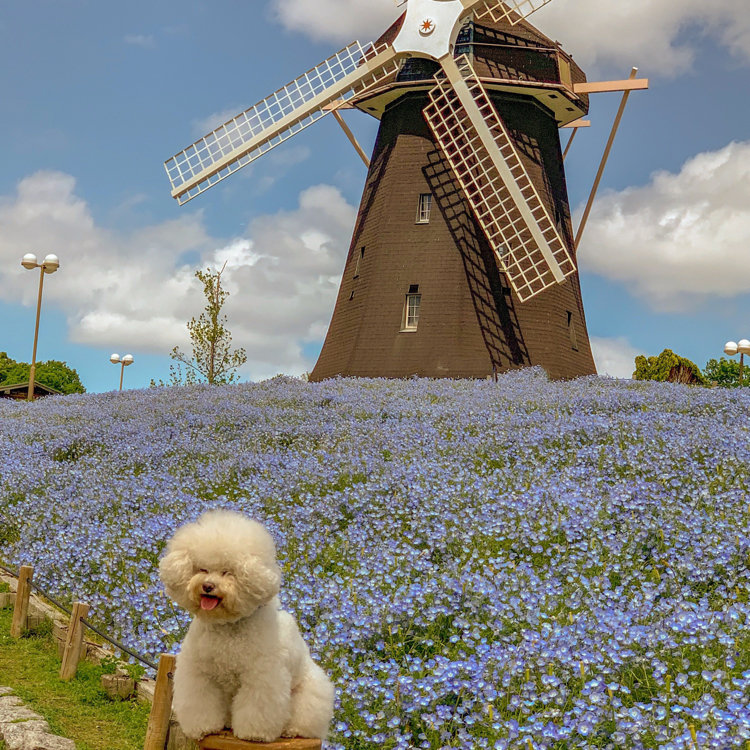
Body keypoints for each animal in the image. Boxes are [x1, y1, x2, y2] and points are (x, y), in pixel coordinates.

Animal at [159, 516, 334, 744]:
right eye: (202, 569)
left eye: (228, 572)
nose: (208, 586)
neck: (227, 627)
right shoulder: (199, 674)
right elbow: (201, 703)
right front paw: (203, 728)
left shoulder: (261, 677)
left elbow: (257, 708)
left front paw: (254, 734)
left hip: (308, 693)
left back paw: (291, 730)